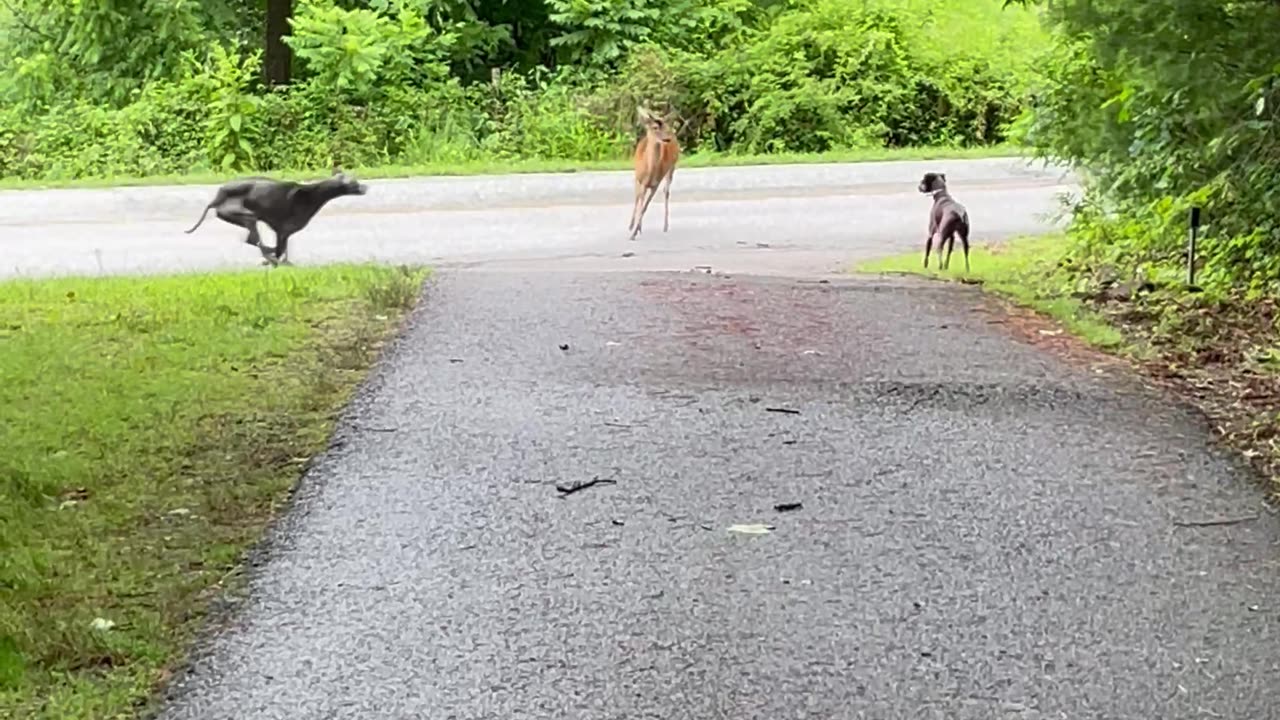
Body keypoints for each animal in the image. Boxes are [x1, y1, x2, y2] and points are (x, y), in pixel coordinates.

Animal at [183, 167, 368, 263]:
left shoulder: (283, 233)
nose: (366, 187)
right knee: (255, 241)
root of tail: (217, 197)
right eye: (355, 182)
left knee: (254, 242)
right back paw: (270, 257)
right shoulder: (283, 231)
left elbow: (283, 251)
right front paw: (278, 261)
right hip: (246, 215)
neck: (314, 193)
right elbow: (280, 251)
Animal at [627, 105, 680, 240]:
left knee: (666, 191)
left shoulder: (655, 185)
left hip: (672, 167)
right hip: (637, 178)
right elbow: (640, 201)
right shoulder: (640, 180)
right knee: (637, 197)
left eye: (666, 127)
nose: (668, 139)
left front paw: (635, 231)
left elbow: (645, 207)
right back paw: (632, 225)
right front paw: (634, 229)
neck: (649, 171)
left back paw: (665, 226)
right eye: (655, 127)